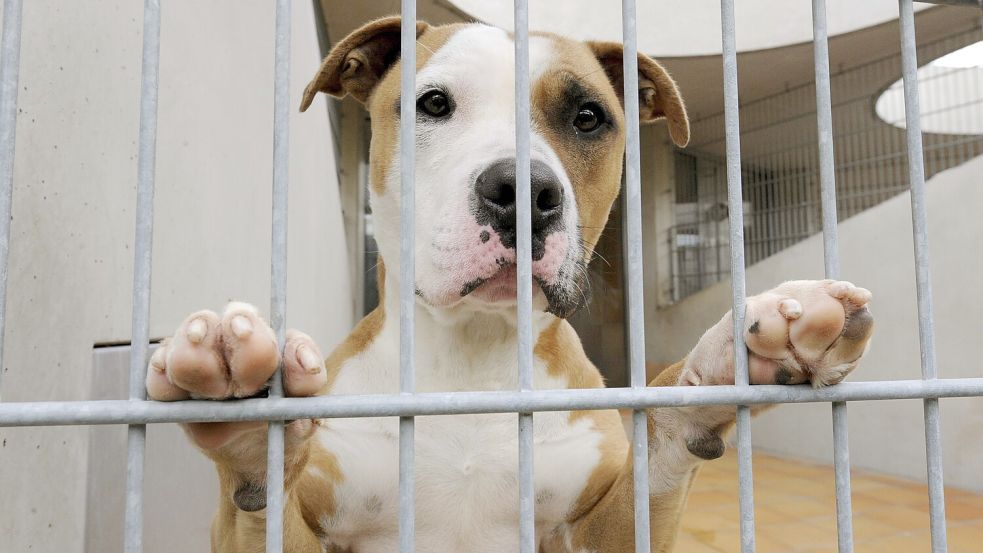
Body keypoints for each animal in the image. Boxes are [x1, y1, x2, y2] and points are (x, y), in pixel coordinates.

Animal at [144, 17, 876, 552]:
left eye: (588, 117)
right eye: (433, 103)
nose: (523, 191)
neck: (475, 357)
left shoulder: (597, 529)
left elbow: (660, 447)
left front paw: (722, 364)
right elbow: (260, 499)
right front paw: (248, 438)